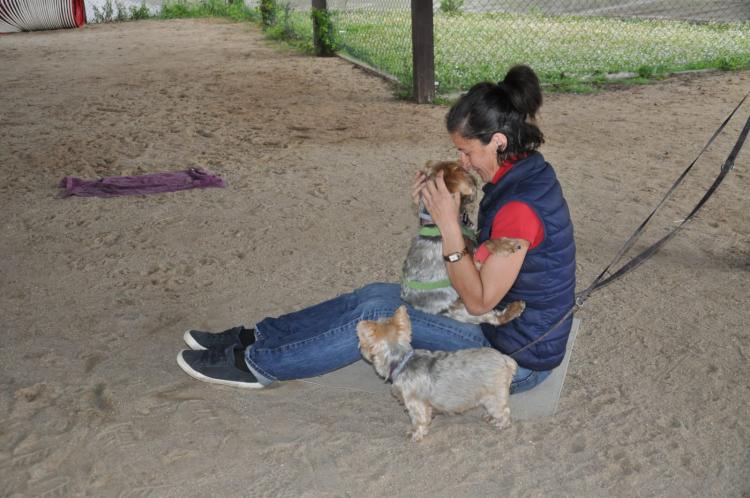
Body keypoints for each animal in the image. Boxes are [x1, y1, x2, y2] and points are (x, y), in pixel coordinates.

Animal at [358, 306, 516, 442]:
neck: (402, 360)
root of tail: (504, 359)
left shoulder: (415, 403)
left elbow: (419, 420)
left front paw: (415, 434)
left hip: (494, 396)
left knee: (505, 411)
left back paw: (501, 424)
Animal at [402, 160, 524, 326]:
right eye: (457, 168)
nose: (467, 169)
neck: (438, 225)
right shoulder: (472, 264)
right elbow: (487, 243)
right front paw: (506, 245)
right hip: (462, 308)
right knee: (494, 319)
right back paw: (515, 309)